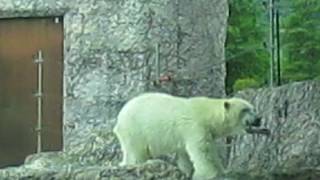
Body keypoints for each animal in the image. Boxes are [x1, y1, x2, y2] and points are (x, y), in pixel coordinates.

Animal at [114, 92, 264, 179]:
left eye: (253, 108)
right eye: (245, 109)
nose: (259, 118)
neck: (208, 115)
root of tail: (119, 117)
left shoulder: (195, 133)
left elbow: (187, 154)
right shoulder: (195, 127)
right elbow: (203, 151)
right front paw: (210, 174)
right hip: (136, 129)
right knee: (136, 152)